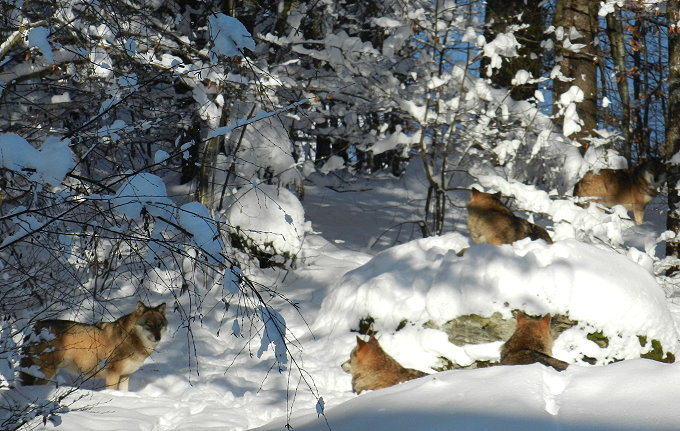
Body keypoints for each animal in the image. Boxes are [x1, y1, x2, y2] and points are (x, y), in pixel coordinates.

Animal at [19, 304, 168, 392]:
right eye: (149, 325)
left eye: (159, 325)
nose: (158, 338)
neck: (131, 340)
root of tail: (34, 327)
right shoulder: (113, 374)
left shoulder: (125, 376)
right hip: (47, 372)